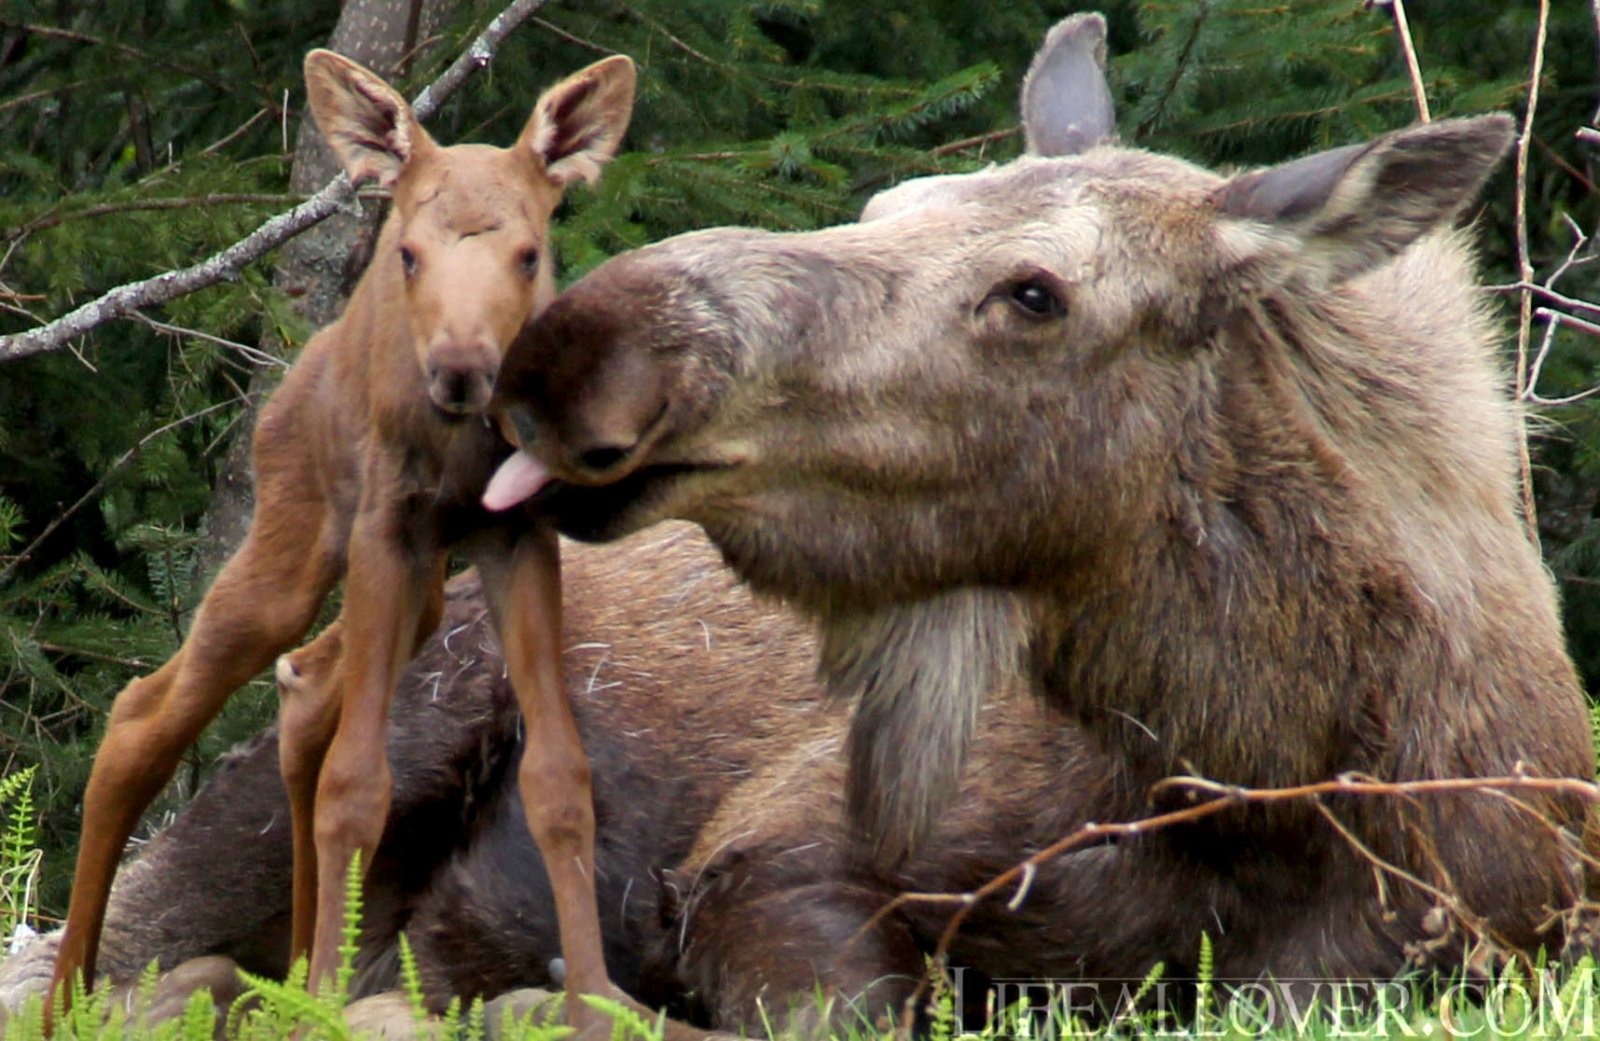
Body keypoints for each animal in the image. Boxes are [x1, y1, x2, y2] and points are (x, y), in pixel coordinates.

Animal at [53, 46, 633, 1036]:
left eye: (529, 253)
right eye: (408, 252)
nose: (460, 370)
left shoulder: (519, 536)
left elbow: (561, 780)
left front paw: (595, 1004)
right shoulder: (385, 530)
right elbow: (357, 786)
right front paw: (327, 1003)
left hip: (424, 587)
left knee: (303, 693)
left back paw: (295, 970)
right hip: (299, 541)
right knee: (144, 715)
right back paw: (69, 998)